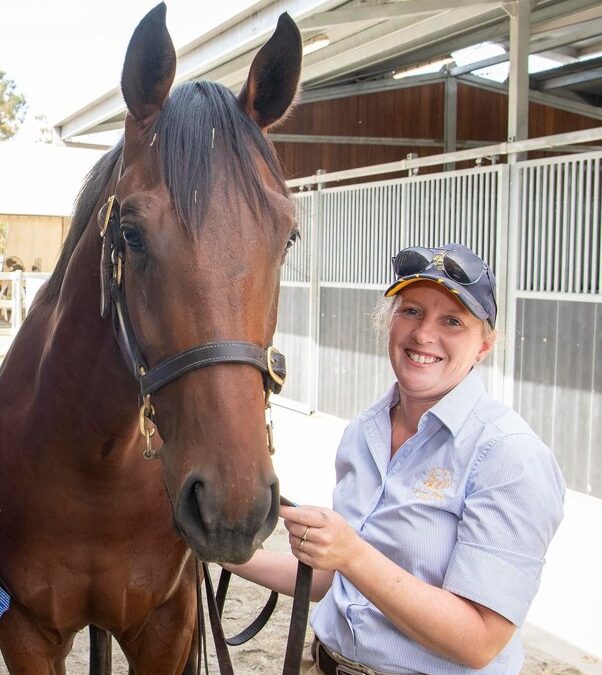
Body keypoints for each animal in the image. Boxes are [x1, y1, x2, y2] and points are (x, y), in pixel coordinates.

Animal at [0, 3, 300, 672]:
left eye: (288, 236)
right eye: (131, 235)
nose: (234, 505)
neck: (95, 467)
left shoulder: (167, 625)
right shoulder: (26, 629)